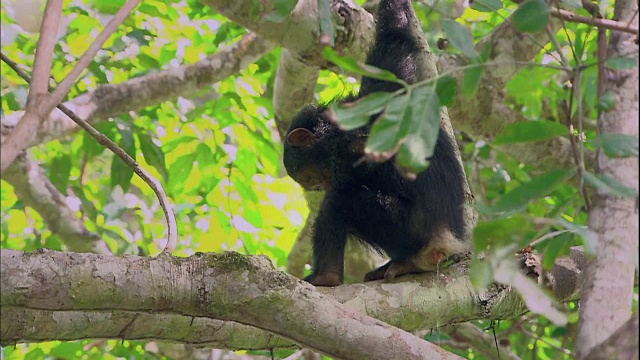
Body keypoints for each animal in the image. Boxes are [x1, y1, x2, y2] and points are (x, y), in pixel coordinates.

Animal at [284, 0, 470, 286]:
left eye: (313, 179)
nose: (317, 187)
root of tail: (446, 246)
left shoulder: (345, 149)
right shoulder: (387, 85)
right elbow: (396, 40)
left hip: (408, 230)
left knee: (340, 201)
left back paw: (327, 276)